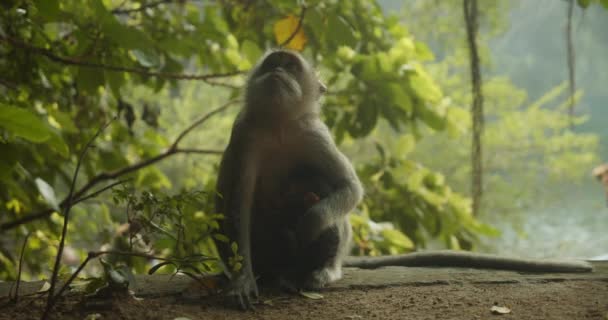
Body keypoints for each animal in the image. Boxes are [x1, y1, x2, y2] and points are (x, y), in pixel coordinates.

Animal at [215, 50, 592, 310]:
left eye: (290, 66)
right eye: (272, 63)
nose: (277, 70)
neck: (279, 124)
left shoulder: (313, 134)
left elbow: (348, 189)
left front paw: (310, 223)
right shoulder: (246, 134)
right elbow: (236, 206)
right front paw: (242, 280)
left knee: (317, 190)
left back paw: (322, 270)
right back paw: (273, 274)